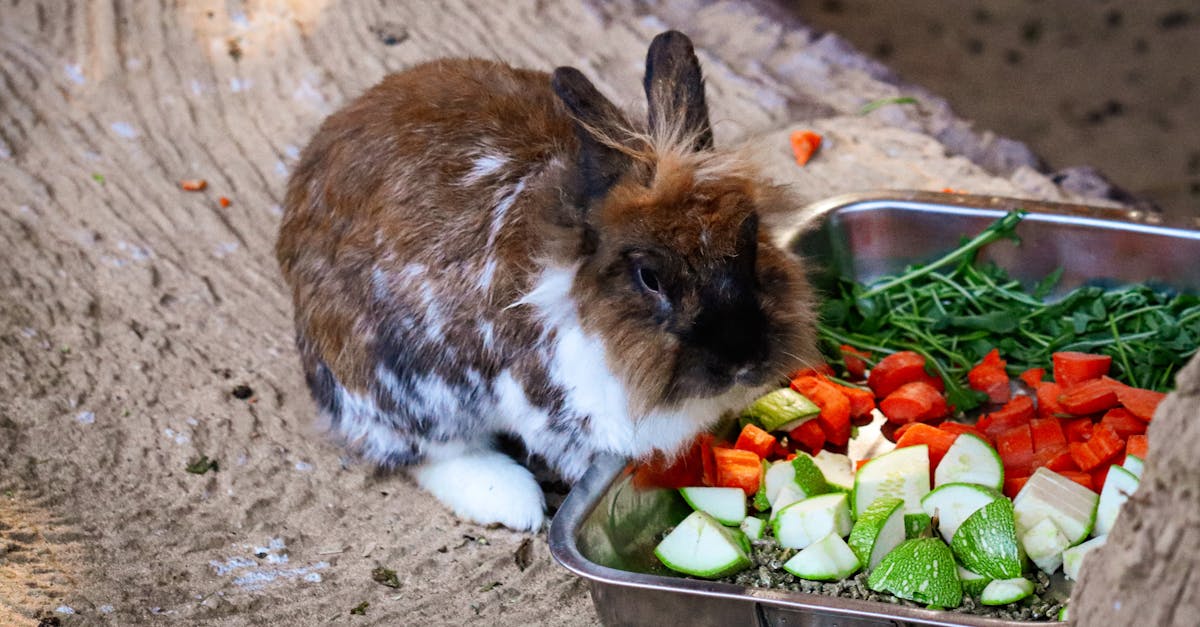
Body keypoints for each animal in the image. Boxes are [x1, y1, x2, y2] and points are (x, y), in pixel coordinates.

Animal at [275, 31, 821, 531]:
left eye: (751, 239)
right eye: (649, 277)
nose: (743, 360)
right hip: (402, 384)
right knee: (425, 451)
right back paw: (514, 503)